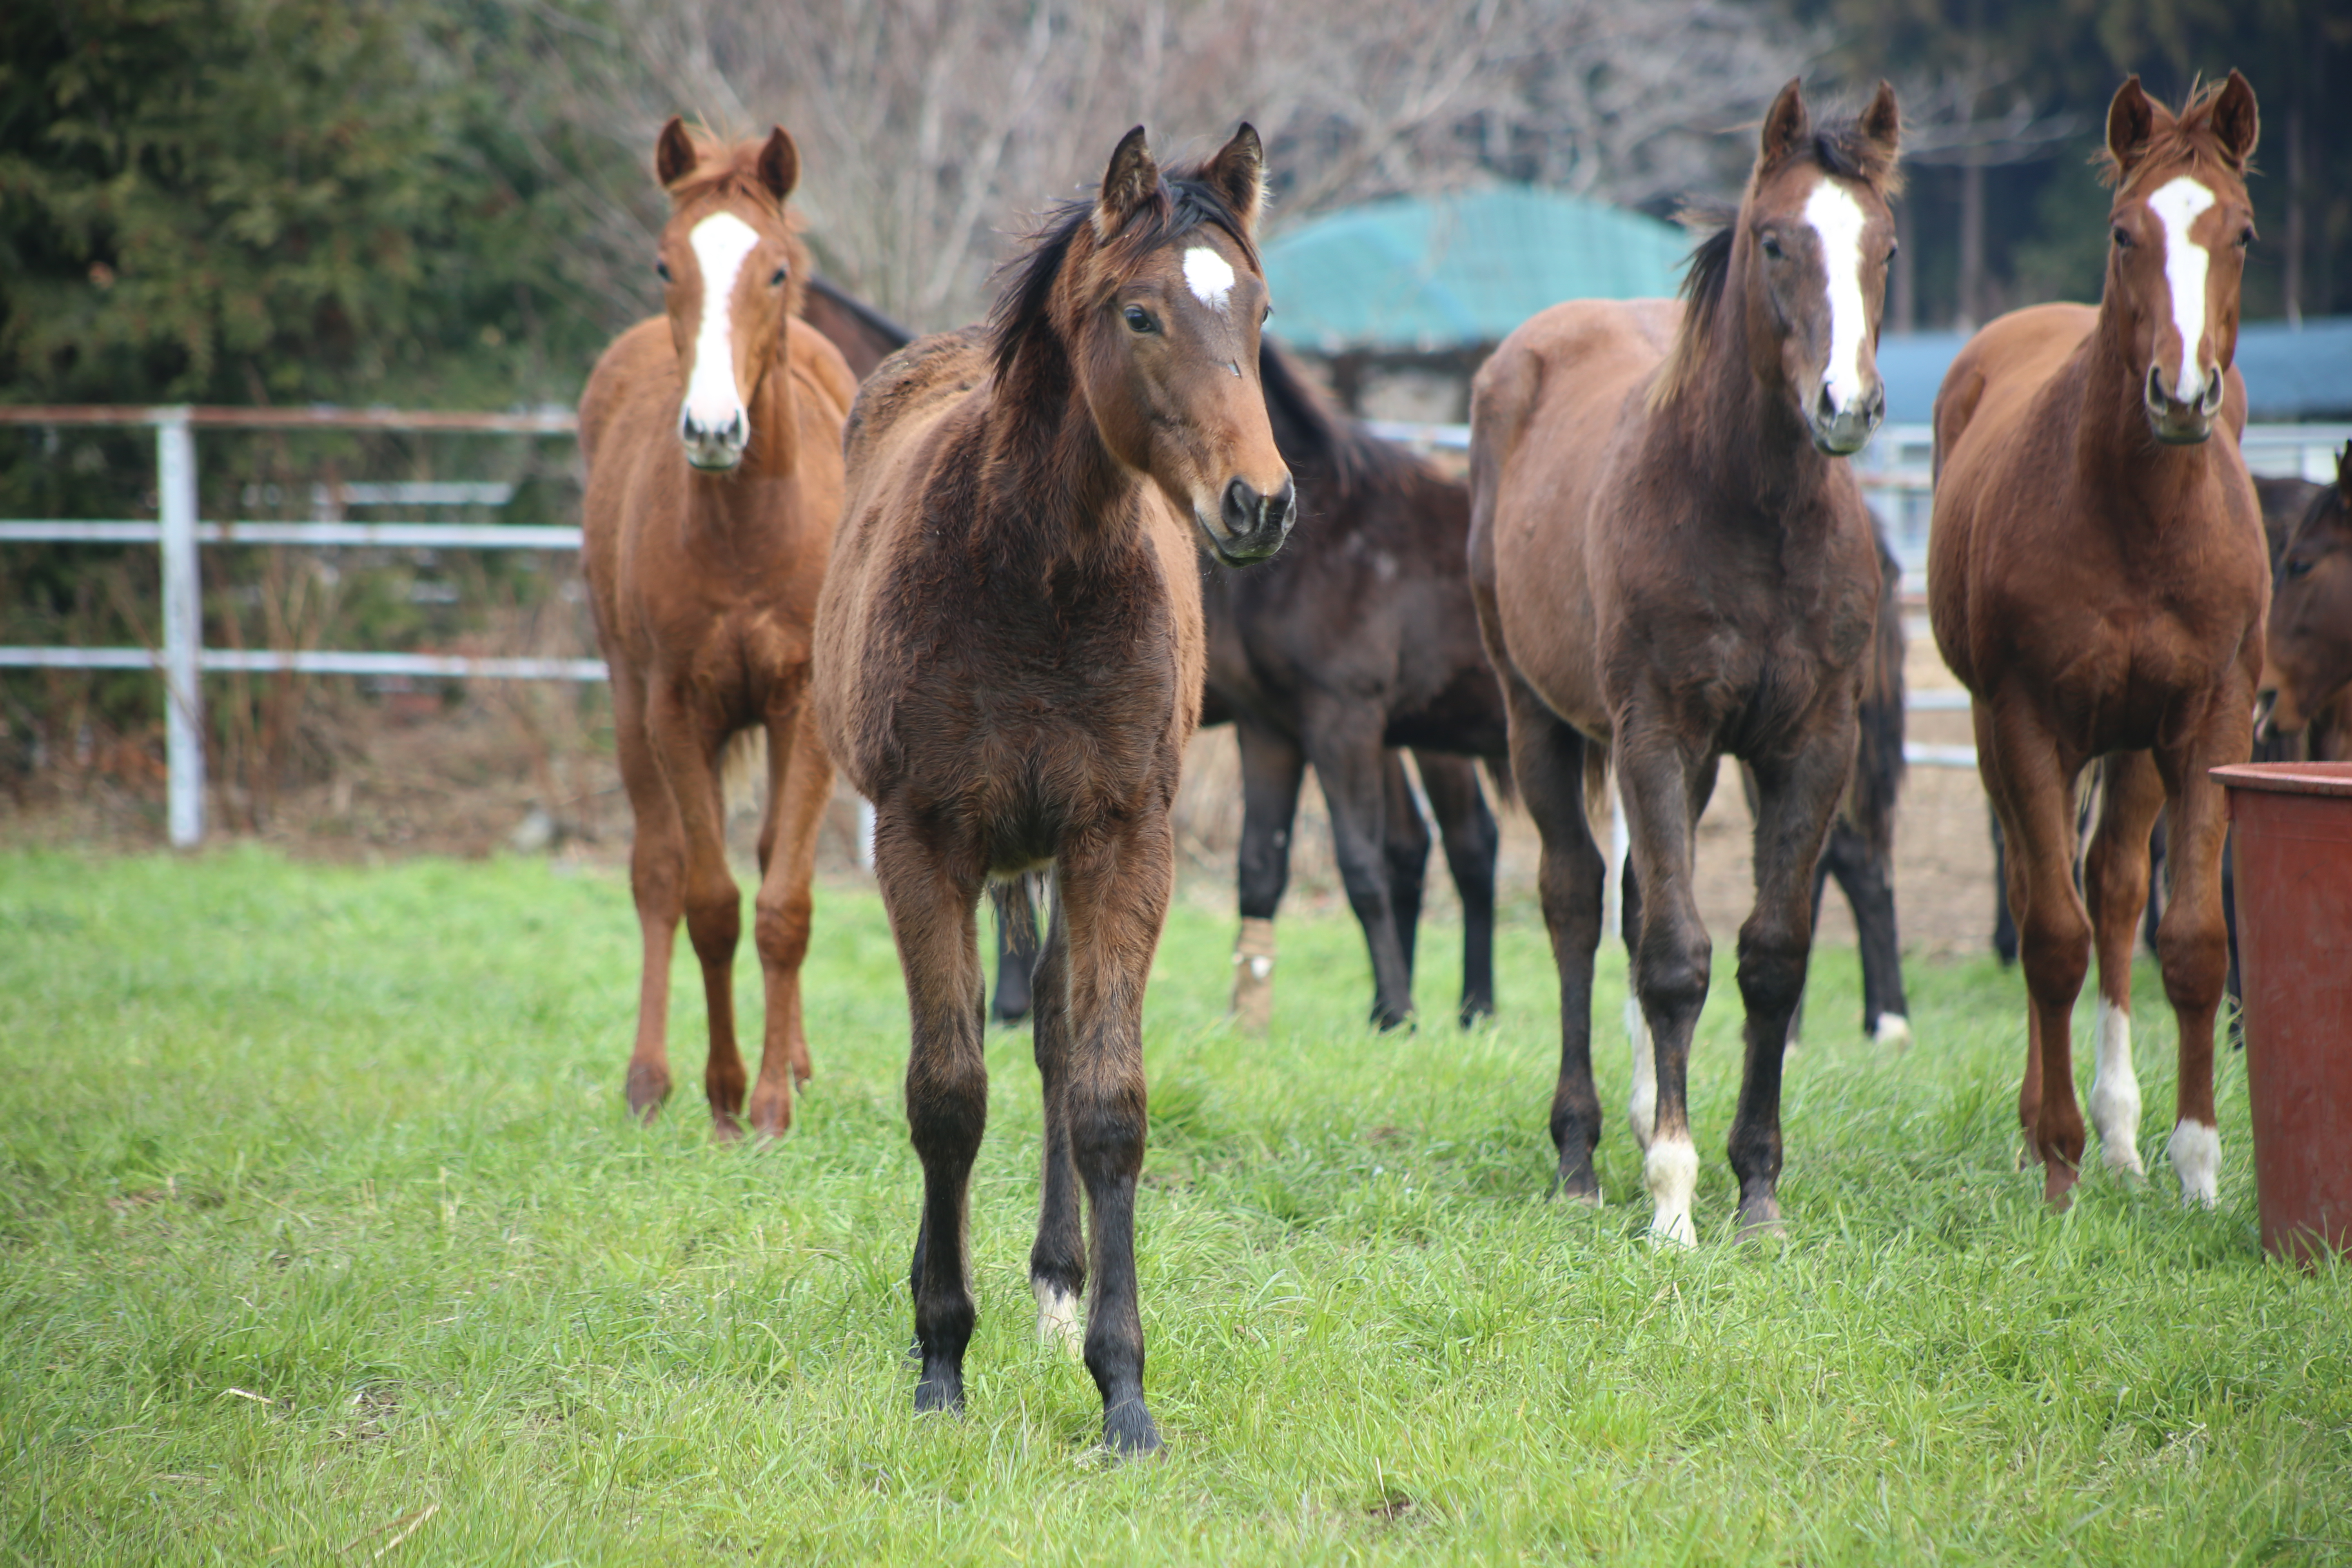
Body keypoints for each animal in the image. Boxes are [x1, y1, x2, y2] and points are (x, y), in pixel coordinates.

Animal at [804, 126, 1289, 1457]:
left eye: (1260, 311)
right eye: (1141, 313)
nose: (1260, 501)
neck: (1034, 580)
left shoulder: (1122, 838)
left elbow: (1106, 1099)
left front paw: (1123, 1388)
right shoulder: (923, 842)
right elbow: (947, 1095)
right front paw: (939, 1358)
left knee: (1063, 1042)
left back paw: (1058, 1282)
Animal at [1458, 80, 1900, 1241]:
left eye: (1883, 244)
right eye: (1775, 241)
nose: (1845, 406)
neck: (1754, 515)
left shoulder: (1810, 745)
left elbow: (1770, 956)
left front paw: (1755, 1191)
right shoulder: (1654, 731)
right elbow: (1673, 956)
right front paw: (1670, 1197)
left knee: (1632, 901)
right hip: (1538, 719)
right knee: (1577, 904)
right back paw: (1579, 1153)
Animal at [1929, 73, 2276, 1213]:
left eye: (2242, 232)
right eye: (2125, 232)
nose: (2180, 393)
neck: (2137, 522)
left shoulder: (2210, 721)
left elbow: (2191, 940)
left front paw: (2196, 1166)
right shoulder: (2027, 721)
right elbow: (2048, 937)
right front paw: (2056, 1160)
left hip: (2134, 746)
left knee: (2117, 888)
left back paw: (2126, 1136)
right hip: (2008, 736)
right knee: (2047, 894)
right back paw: (2055, 1130)